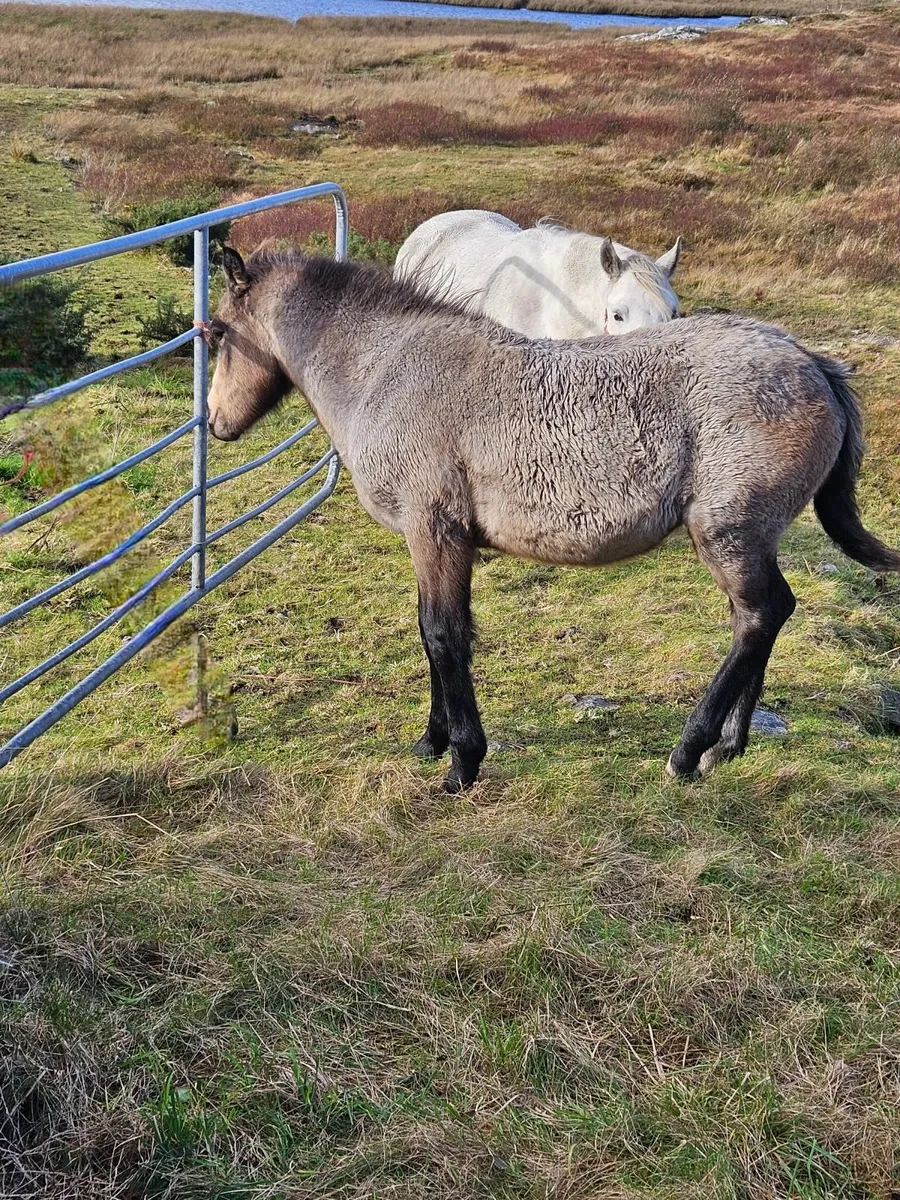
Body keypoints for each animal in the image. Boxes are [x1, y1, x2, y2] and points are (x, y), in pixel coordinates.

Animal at [206, 246, 899, 793]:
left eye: (215, 334)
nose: (215, 423)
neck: (385, 370)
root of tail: (813, 363)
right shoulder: (440, 540)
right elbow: (437, 633)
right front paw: (432, 741)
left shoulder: (435, 531)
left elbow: (442, 634)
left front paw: (462, 762)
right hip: (750, 536)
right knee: (760, 617)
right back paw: (728, 747)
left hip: (729, 532)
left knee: (760, 615)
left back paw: (688, 750)